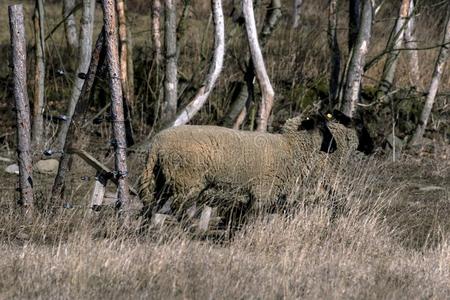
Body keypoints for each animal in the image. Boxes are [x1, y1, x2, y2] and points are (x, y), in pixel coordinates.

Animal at [138, 110, 372, 225]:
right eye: (323, 127)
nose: (334, 147)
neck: (290, 147)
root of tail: (156, 144)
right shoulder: (262, 192)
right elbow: (254, 219)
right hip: (186, 181)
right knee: (178, 210)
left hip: (161, 180)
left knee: (151, 208)